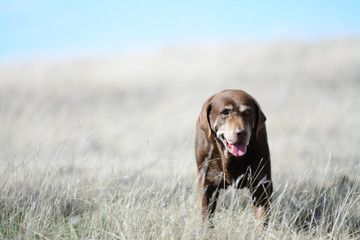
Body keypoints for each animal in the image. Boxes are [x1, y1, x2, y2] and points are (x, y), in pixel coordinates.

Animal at [195, 89, 272, 229]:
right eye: (225, 112)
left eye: (248, 112)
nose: (241, 133)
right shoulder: (206, 183)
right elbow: (207, 217)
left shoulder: (262, 183)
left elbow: (262, 219)